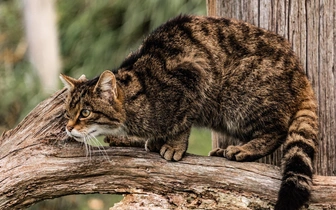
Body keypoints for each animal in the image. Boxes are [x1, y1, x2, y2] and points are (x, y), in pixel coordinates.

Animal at [59, 15, 318, 210]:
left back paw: (244, 149)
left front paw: (174, 145)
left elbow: (183, 122)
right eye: (68, 113)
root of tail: (300, 71)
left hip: (239, 97)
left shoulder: (193, 76)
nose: (68, 128)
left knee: (277, 129)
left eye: (85, 112)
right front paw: (155, 140)